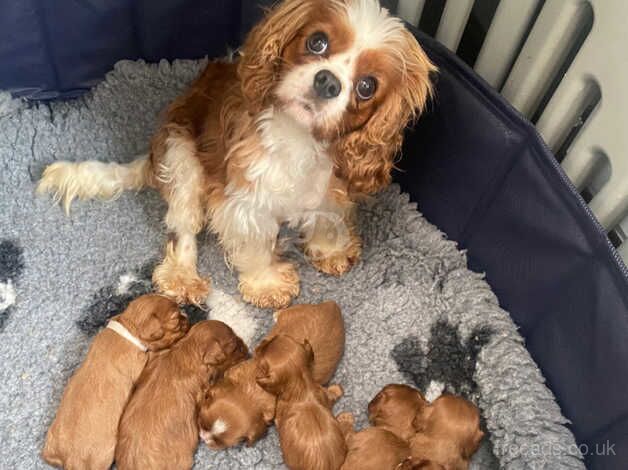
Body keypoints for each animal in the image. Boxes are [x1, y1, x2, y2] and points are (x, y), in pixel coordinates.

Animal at [42, 296, 189, 470]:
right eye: (175, 320)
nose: (188, 317)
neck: (129, 329)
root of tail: (70, 461)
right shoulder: (141, 364)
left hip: (50, 444)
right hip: (103, 456)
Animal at [253, 334, 346, 470]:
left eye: (262, 363)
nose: (260, 344)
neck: (302, 388)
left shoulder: (279, 415)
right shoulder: (321, 391)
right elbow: (330, 393)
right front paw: (336, 389)